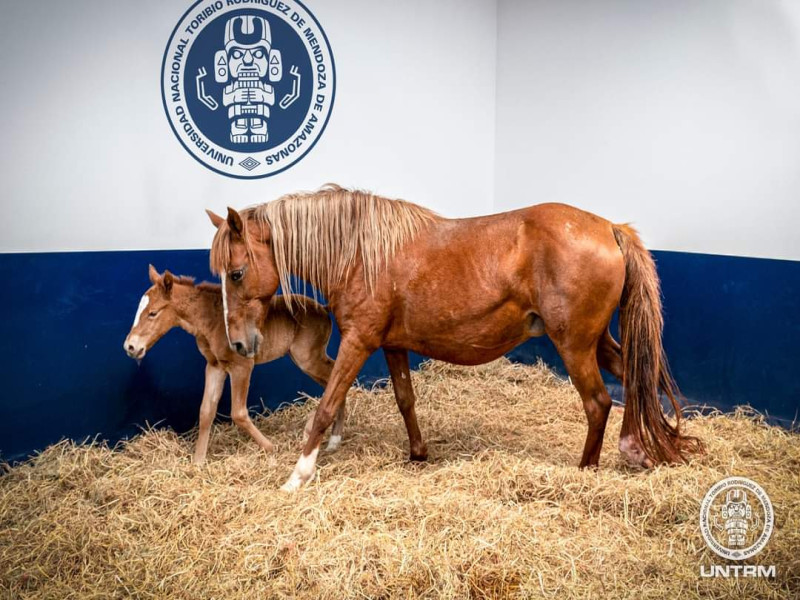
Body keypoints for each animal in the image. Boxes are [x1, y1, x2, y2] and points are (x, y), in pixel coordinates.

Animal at [122, 264, 344, 464]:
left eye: (153, 313)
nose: (130, 346)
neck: (212, 321)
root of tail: (323, 309)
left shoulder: (242, 366)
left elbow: (238, 413)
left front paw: (271, 447)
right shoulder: (215, 366)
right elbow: (206, 411)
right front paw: (198, 462)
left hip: (308, 358)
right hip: (306, 359)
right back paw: (332, 435)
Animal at [206, 185, 700, 490]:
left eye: (237, 272)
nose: (238, 344)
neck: (360, 254)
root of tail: (609, 227)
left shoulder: (359, 342)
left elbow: (326, 406)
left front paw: (299, 474)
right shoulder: (393, 345)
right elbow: (405, 399)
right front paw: (418, 453)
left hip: (575, 344)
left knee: (598, 402)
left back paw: (586, 471)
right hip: (597, 342)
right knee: (635, 381)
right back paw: (636, 449)